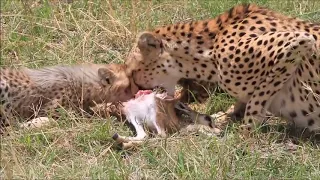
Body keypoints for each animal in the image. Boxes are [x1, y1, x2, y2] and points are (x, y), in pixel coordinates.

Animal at [126, 3, 318, 131]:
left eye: (133, 71)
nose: (136, 91)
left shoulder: (300, 41)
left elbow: (256, 102)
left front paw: (245, 136)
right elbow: (242, 102)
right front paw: (218, 118)